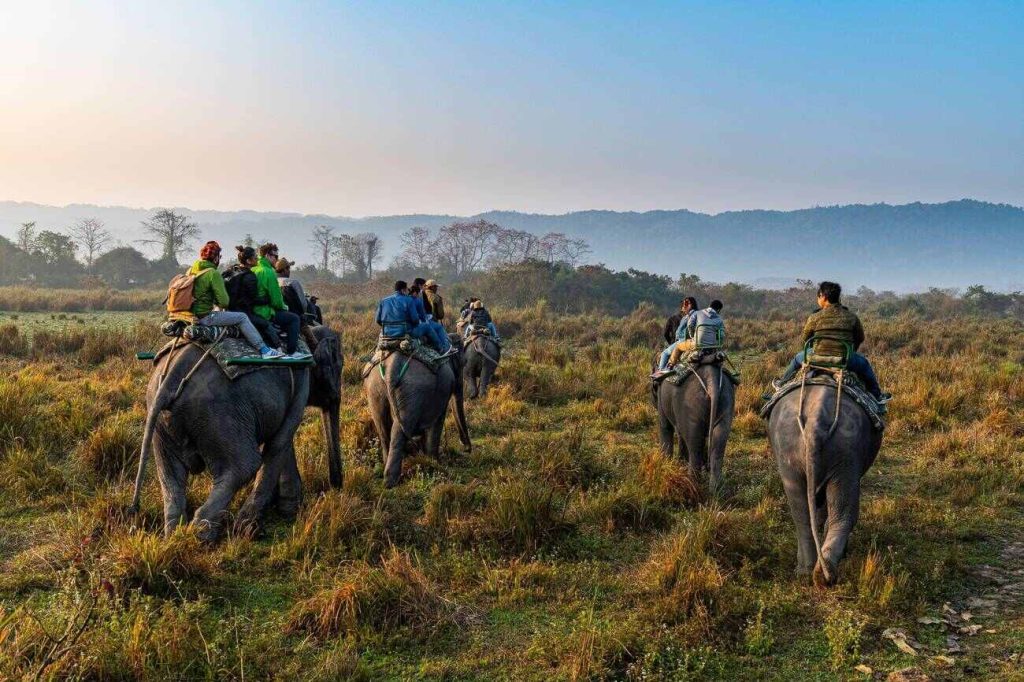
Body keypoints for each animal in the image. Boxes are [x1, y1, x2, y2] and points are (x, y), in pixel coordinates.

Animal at [129, 323, 339, 540]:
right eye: (339, 364)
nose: (335, 487)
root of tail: (171, 379)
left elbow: (281, 441)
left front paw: (285, 510)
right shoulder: (302, 380)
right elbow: (280, 441)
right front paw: (257, 527)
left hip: (161, 418)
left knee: (169, 473)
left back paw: (175, 535)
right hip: (219, 414)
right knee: (244, 466)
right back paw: (204, 536)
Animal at [364, 333, 471, 483]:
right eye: (463, 363)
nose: (466, 449)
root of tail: (392, 366)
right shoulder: (443, 391)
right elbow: (438, 420)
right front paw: (435, 463)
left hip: (374, 387)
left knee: (383, 427)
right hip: (412, 389)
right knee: (400, 429)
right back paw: (391, 481)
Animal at [651, 360, 733, 493]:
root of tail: (711, 378)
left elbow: (665, 427)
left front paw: (664, 463)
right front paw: (680, 463)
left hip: (690, 404)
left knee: (694, 448)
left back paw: (691, 485)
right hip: (726, 399)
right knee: (718, 446)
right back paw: (715, 491)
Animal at [770, 382, 880, 585]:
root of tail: (816, 422)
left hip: (789, 455)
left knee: (801, 514)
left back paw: (808, 570)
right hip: (846, 456)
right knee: (844, 514)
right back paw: (825, 571)